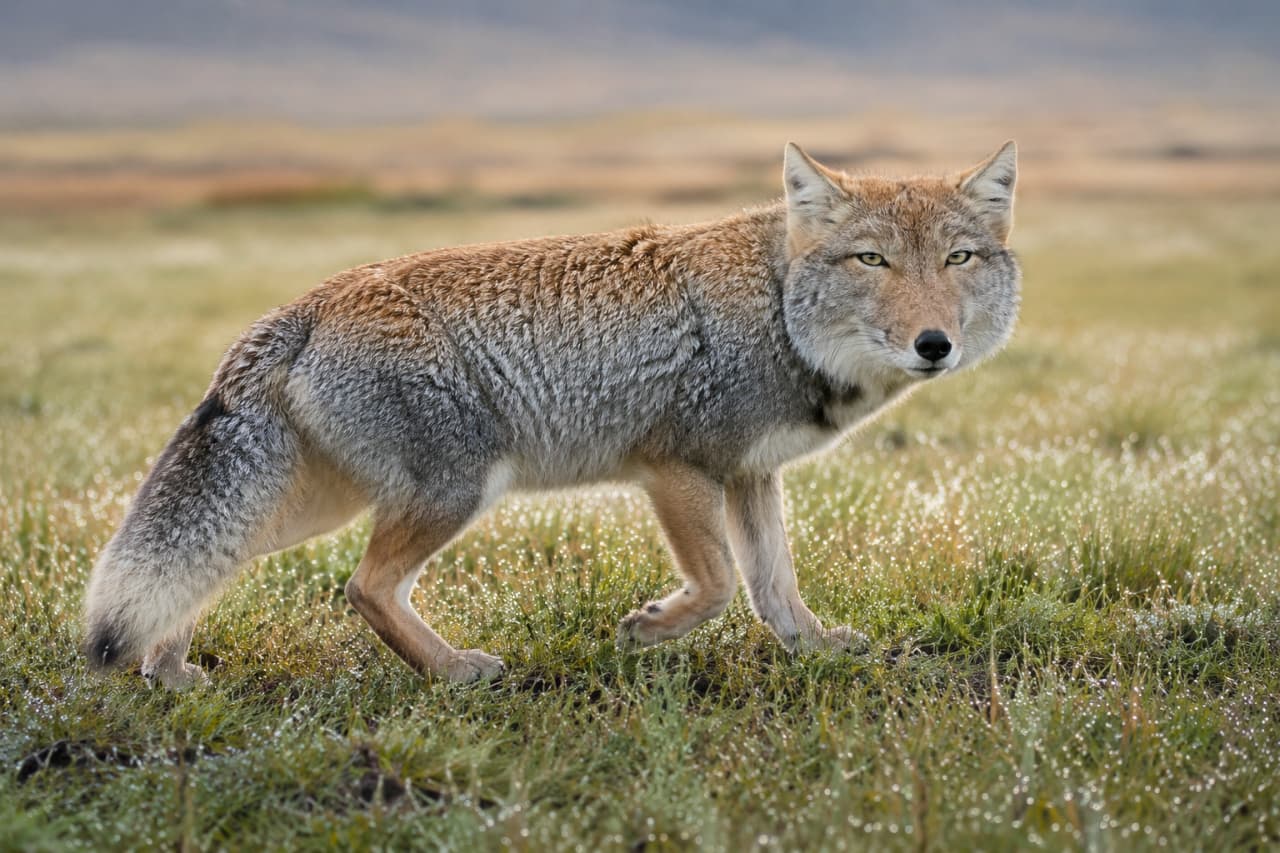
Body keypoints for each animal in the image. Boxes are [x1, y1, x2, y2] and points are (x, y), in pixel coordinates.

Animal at [83, 142, 1020, 688]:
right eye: (872, 260)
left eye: (958, 258)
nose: (933, 343)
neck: (775, 307)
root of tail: (306, 303)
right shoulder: (676, 469)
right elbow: (719, 585)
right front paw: (648, 630)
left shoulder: (750, 473)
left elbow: (774, 588)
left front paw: (812, 649)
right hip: (453, 491)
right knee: (363, 586)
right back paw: (455, 671)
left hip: (323, 505)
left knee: (215, 563)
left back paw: (168, 673)